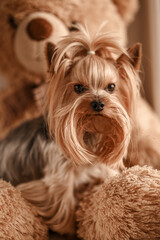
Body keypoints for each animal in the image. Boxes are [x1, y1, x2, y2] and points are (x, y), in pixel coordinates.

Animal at [0, 25, 141, 234]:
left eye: (111, 87)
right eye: (78, 88)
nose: (98, 104)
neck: (88, 132)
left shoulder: (100, 170)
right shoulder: (58, 179)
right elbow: (63, 205)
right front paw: (68, 230)